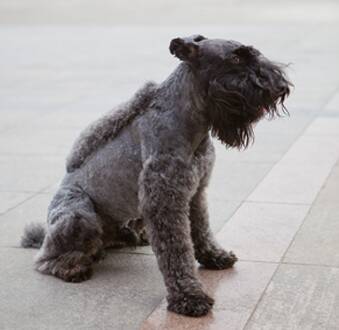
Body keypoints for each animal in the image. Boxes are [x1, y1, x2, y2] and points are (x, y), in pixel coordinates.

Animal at [21, 35, 292, 318]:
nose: (280, 86)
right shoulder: (165, 201)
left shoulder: (195, 193)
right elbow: (177, 251)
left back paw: (128, 238)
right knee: (45, 258)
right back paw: (71, 266)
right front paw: (189, 296)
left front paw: (213, 256)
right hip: (78, 216)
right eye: (236, 58)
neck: (190, 123)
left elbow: (201, 229)